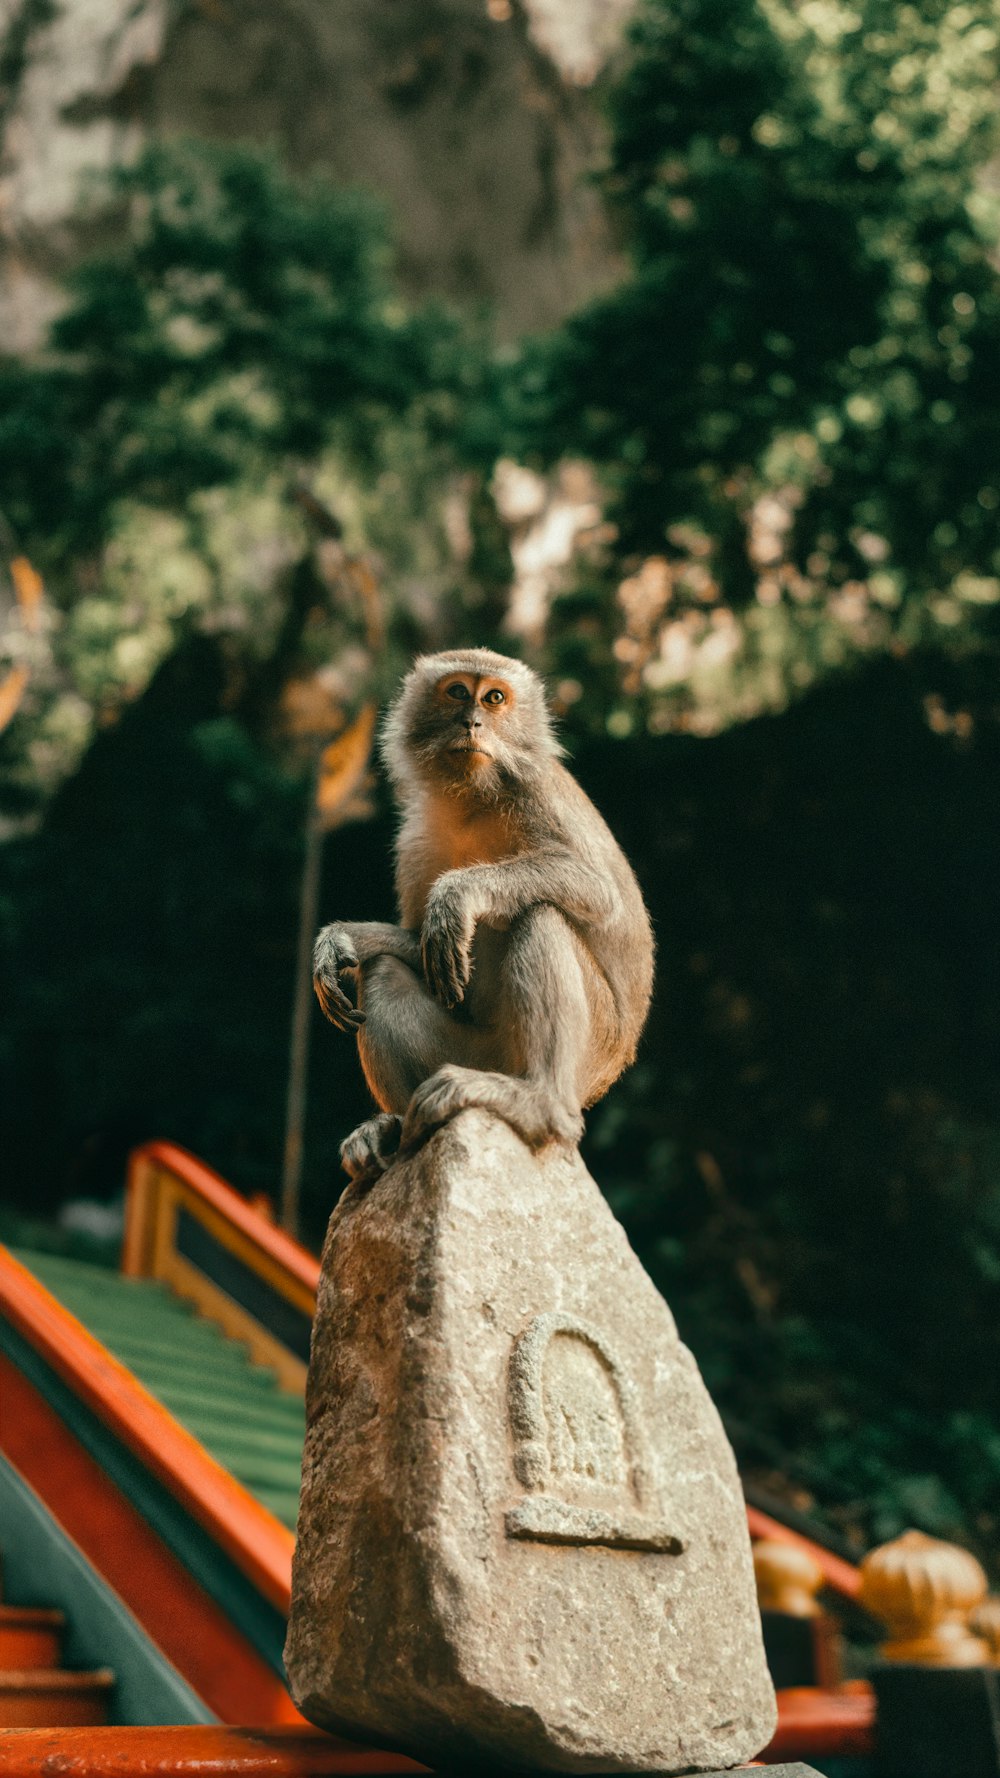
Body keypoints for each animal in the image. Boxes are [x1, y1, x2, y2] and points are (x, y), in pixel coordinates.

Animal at [313, 650, 654, 1180]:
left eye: (494, 698)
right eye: (457, 692)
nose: (472, 722)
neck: (472, 798)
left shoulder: (538, 791)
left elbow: (598, 890)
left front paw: (458, 893)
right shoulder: (414, 836)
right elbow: (423, 941)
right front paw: (342, 939)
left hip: (587, 1052)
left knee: (539, 914)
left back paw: (540, 1102)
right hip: (469, 1054)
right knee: (386, 970)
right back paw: (392, 1128)